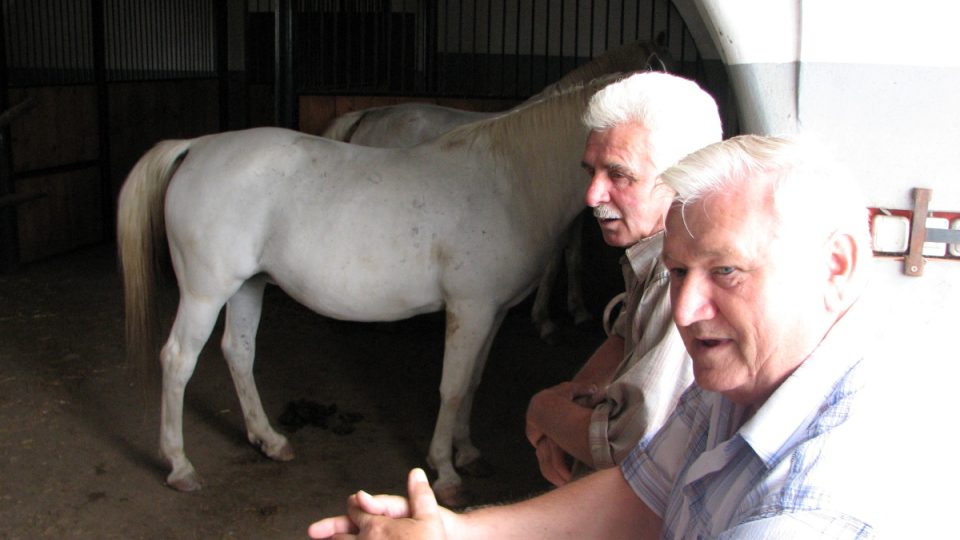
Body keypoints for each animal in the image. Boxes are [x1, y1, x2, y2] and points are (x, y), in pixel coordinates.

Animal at [116, 71, 624, 506]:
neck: (509, 180)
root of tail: (197, 146)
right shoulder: (471, 308)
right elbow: (453, 386)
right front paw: (446, 471)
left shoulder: (492, 312)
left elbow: (473, 382)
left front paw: (468, 453)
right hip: (205, 293)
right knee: (178, 359)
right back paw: (180, 466)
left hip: (247, 286)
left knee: (238, 352)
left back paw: (271, 441)